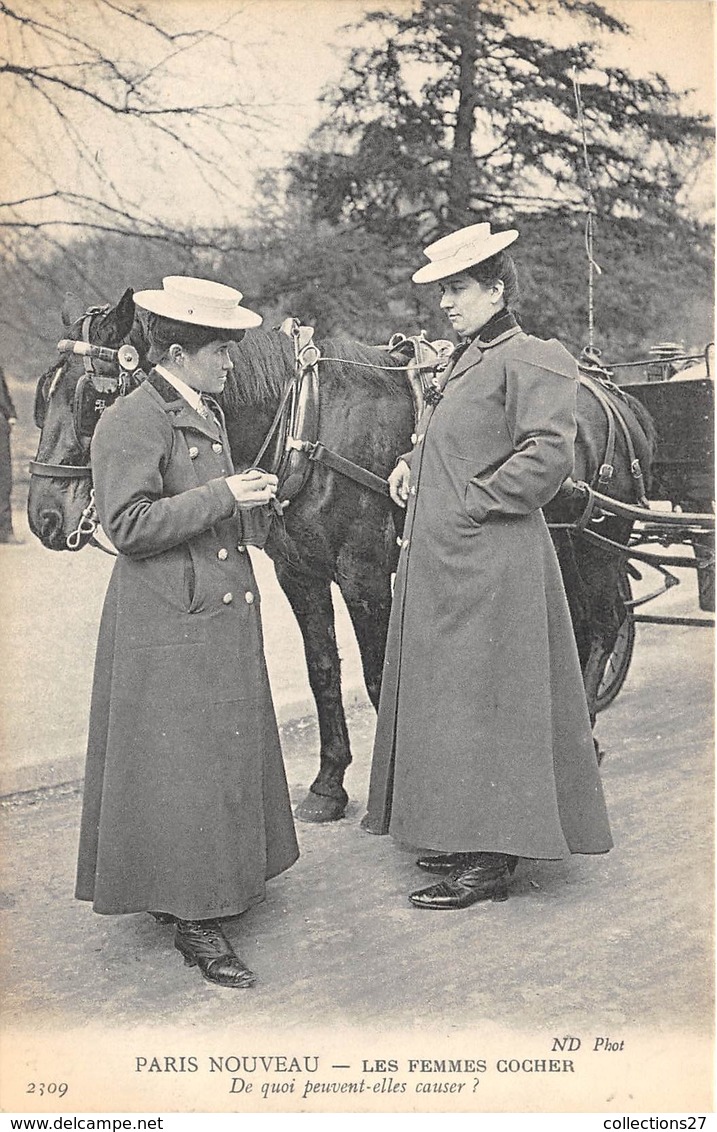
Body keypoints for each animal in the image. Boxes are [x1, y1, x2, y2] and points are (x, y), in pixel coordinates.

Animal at [26, 289, 652, 824]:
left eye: (89, 400)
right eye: (41, 398)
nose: (43, 518)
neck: (308, 422)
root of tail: (610, 393)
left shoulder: (365, 577)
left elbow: (377, 676)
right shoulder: (298, 574)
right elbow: (323, 670)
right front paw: (329, 784)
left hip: (597, 540)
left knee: (602, 621)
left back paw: (585, 728)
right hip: (567, 541)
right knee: (577, 619)